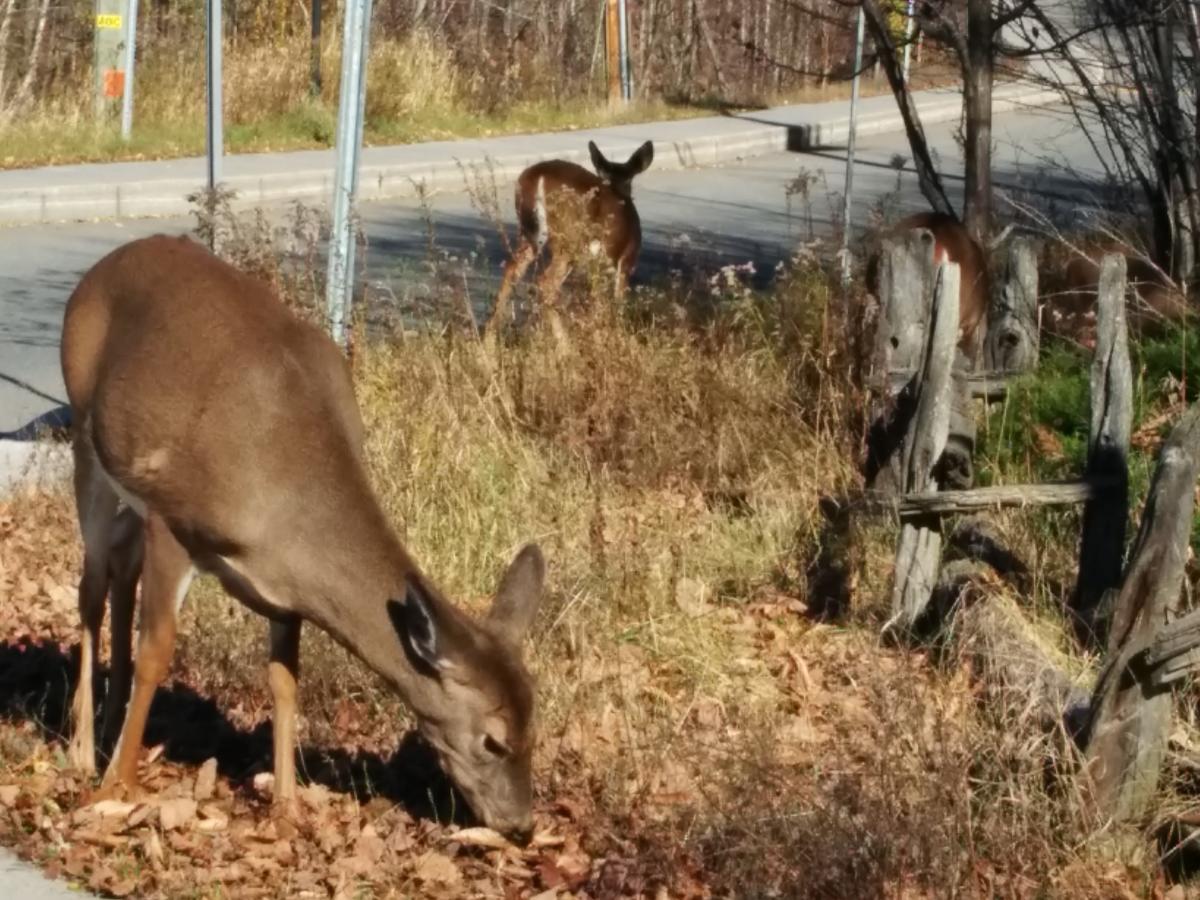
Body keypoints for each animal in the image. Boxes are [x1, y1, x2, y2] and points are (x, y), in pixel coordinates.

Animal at [64, 234, 549, 844]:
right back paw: (85, 752)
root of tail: (100, 268)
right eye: (494, 740)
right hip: (85, 435)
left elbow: (285, 680)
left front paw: (287, 804)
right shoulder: (174, 521)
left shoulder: (283, 590)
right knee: (90, 586)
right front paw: (117, 789)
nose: (522, 826)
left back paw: (107, 724)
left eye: (537, 724)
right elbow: (158, 651)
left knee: (118, 573)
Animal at [484, 141, 657, 345]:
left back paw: (488, 343)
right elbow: (617, 303)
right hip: (568, 238)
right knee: (546, 283)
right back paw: (564, 345)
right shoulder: (626, 260)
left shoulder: (596, 270)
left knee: (512, 270)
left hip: (529, 232)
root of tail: (537, 176)